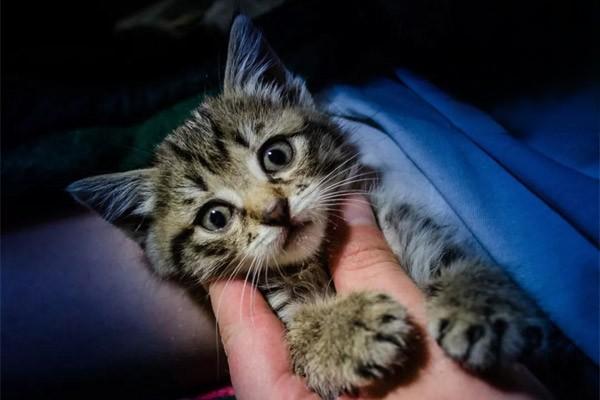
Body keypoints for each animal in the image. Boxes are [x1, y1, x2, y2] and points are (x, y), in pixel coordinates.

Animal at [69, 15, 548, 400]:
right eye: (215, 217)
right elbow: (300, 342)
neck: (315, 259)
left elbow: (455, 260)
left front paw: (479, 299)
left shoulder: (407, 225)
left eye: (276, 155)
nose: (275, 211)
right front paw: (341, 330)